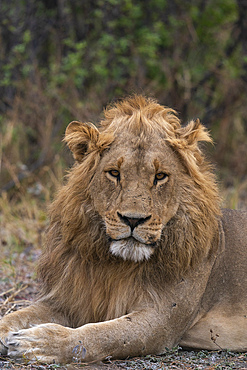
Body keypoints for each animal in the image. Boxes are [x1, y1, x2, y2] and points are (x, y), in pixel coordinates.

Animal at [0, 96, 247, 364]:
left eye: (160, 176)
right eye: (114, 173)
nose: (133, 219)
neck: (117, 265)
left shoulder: (162, 321)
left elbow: (102, 334)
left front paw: (40, 342)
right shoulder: (70, 300)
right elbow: (17, 315)